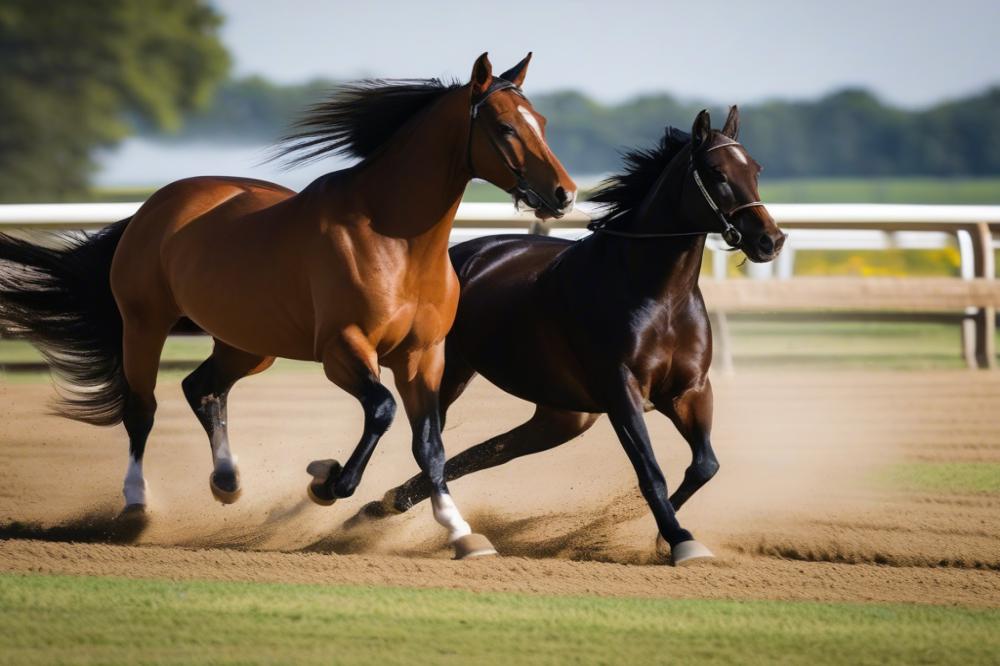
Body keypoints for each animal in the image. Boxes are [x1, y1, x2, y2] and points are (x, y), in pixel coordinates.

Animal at [0, 52, 576, 556]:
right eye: (505, 127)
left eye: (544, 121)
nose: (564, 194)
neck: (396, 241)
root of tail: (153, 207)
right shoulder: (343, 349)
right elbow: (382, 410)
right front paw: (326, 481)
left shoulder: (424, 356)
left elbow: (431, 446)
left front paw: (460, 533)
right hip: (143, 326)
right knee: (142, 410)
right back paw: (137, 508)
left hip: (249, 344)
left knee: (203, 388)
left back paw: (227, 480)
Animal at [372, 106, 784, 564]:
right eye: (716, 172)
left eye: (755, 169)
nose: (770, 240)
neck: (658, 293)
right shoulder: (622, 392)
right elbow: (651, 472)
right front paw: (679, 539)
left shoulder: (689, 390)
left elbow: (704, 465)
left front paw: (657, 535)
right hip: (450, 374)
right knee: (435, 443)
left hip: (564, 416)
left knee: (486, 451)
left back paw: (388, 503)